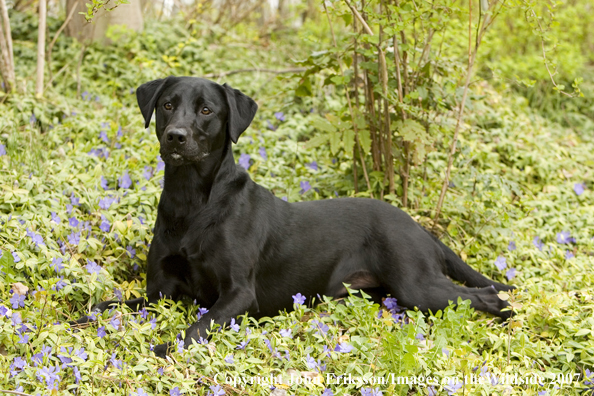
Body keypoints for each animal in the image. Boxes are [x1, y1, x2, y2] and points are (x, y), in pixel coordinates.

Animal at [76, 76, 512, 358]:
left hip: (416, 283)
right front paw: (79, 321)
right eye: (167, 105)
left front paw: (166, 346)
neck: (192, 203)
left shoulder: (238, 294)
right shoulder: (160, 292)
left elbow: (198, 326)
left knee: (487, 296)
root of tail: (417, 226)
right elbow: (107, 305)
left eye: (206, 110)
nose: (176, 137)